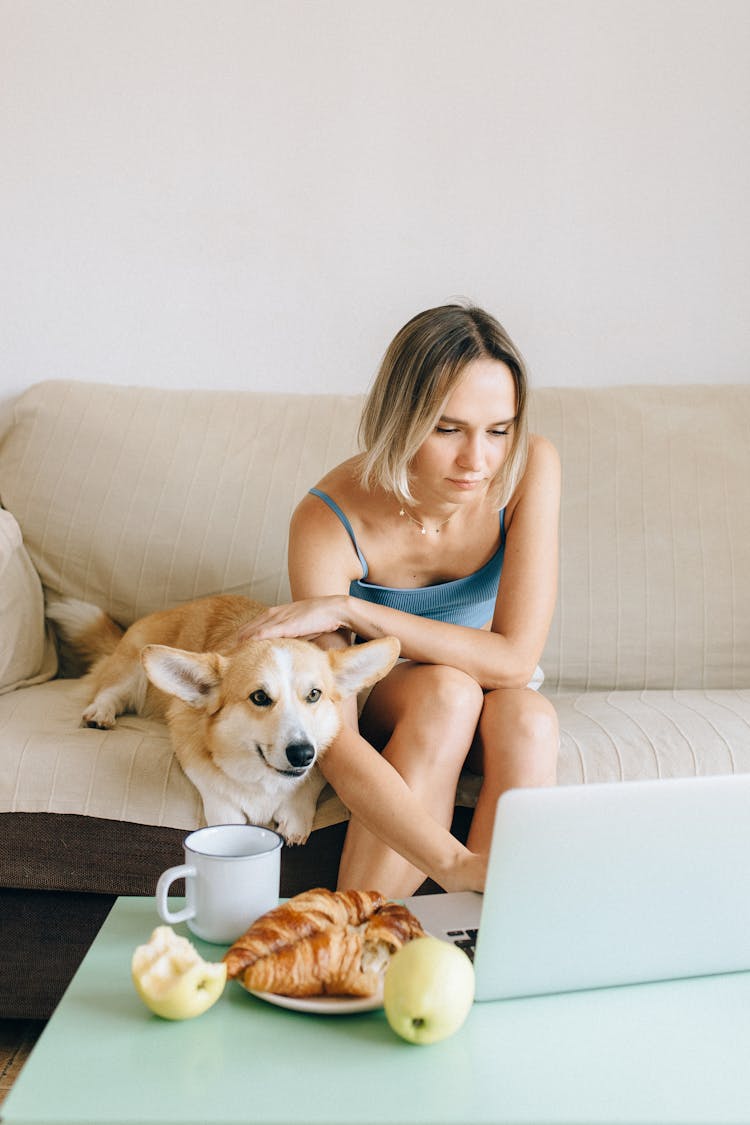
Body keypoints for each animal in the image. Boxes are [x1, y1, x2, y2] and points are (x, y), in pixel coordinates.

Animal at [46, 598, 398, 846]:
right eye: (259, 697)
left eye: (314, 694)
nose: (302, 754)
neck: (263, 778)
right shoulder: (187, 741)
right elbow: (217, 791)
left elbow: (309, 783)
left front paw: (295, 819)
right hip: (133, 668)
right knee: (109, 689)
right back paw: (100, 713)